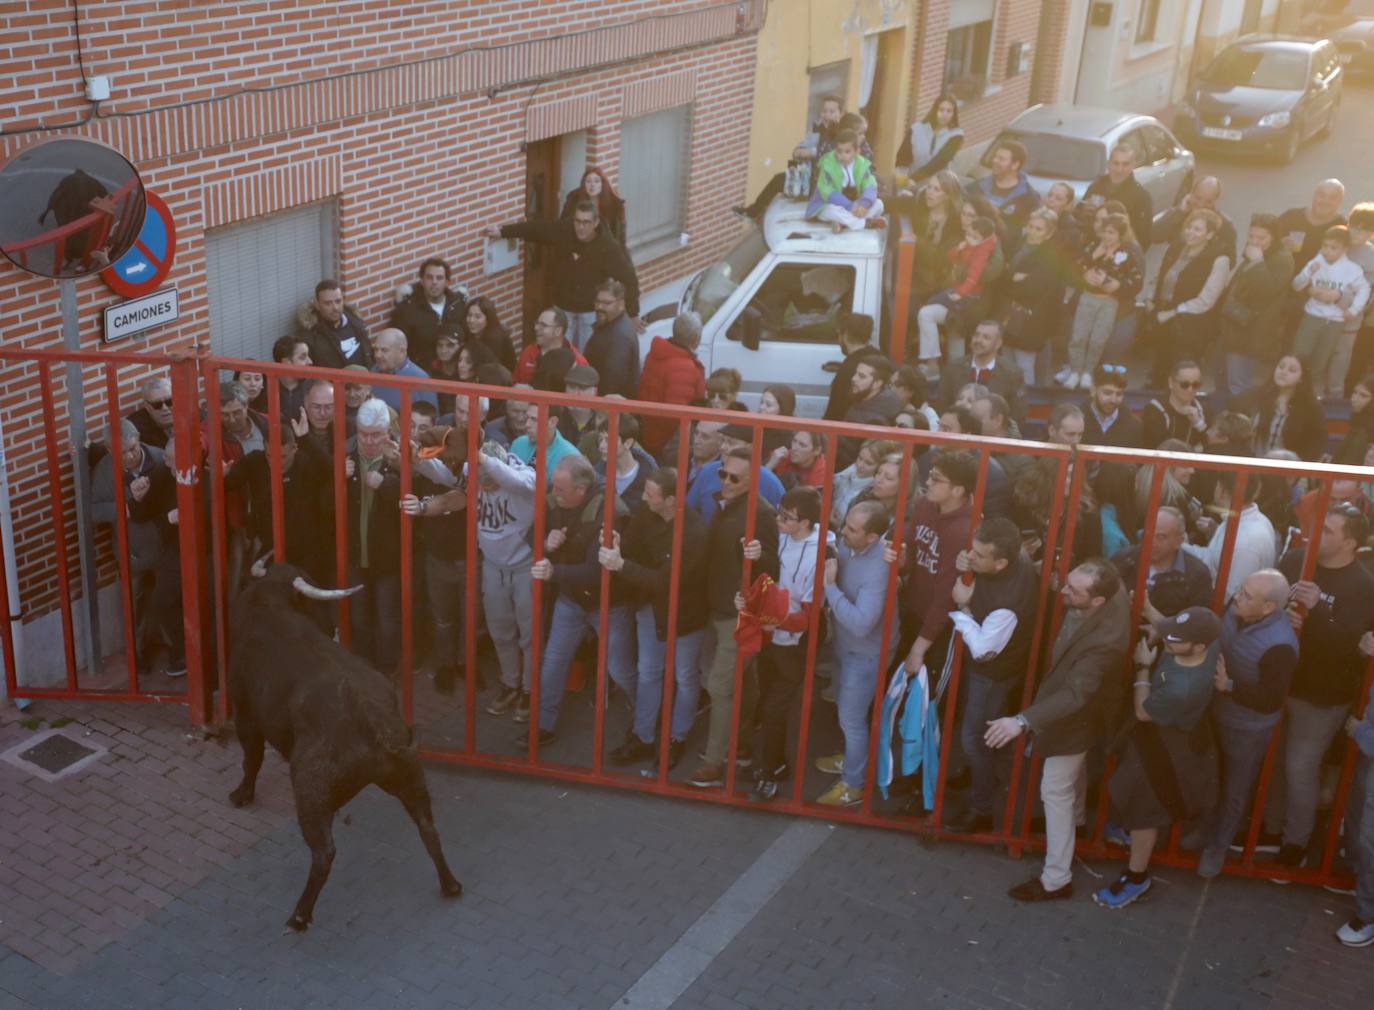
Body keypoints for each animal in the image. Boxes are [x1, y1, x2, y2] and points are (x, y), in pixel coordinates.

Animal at [226, 560, 461, 934]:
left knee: (324, 853)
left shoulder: (244, 710)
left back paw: (299, 915)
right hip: (411, 778)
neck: (271, 605)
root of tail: (373, 724)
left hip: (309, 790)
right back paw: (450, 884)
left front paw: (241, 795)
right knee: (428, 828)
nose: (331, 624)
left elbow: (252, 758)